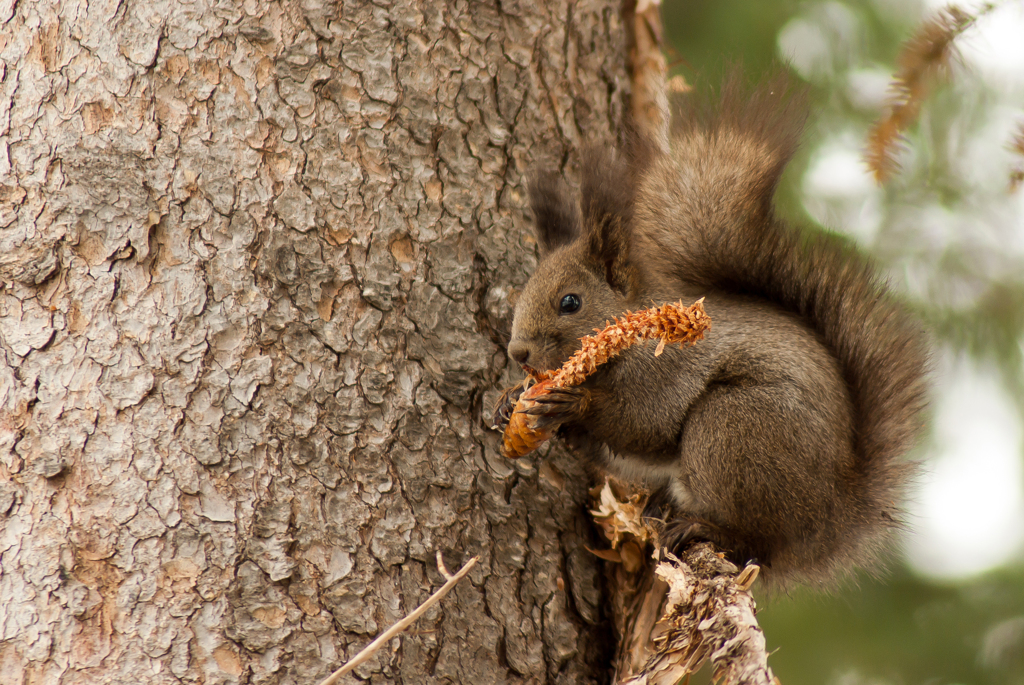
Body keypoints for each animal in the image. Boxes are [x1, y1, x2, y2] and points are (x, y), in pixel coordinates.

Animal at [491, 74, 933, 589]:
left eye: (569, 302)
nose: (517, 353)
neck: (628, 340)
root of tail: (826, 522)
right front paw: (508, 402)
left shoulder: (668, 369)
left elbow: (645, 423)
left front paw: (573, 402)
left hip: (734, 428)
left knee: (751, 539)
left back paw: (704, 527)